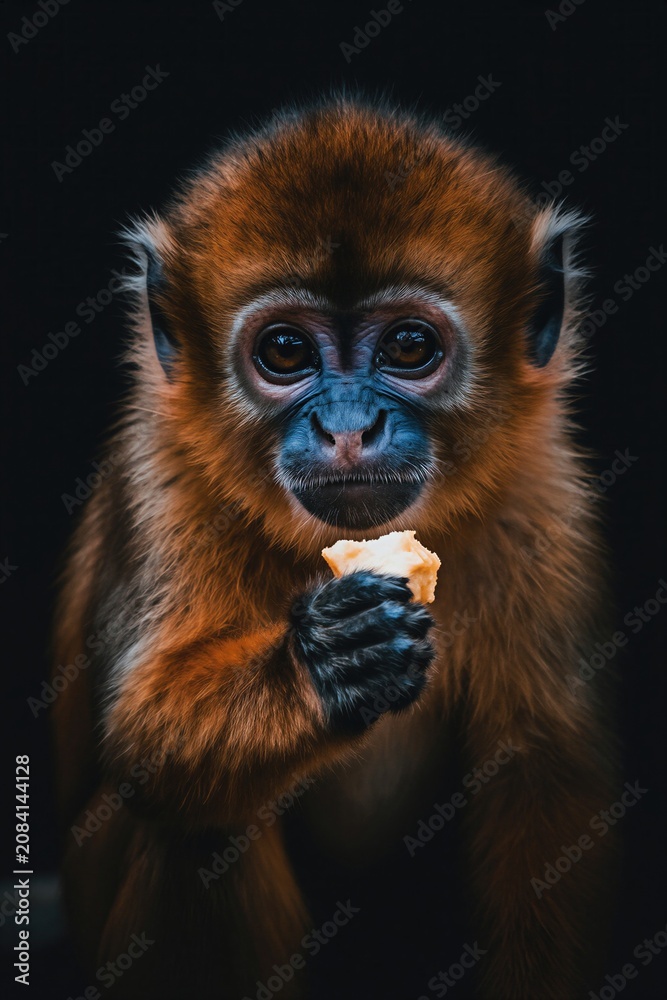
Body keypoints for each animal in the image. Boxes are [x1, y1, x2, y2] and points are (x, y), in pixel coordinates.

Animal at [52, 95, 617, 999]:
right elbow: (146, 749)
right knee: (198, 830)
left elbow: (548, 788)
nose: (348, 427)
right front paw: (334, 660)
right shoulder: (161, 471)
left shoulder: (544, 494)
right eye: (284, 351)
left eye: (410, 347)